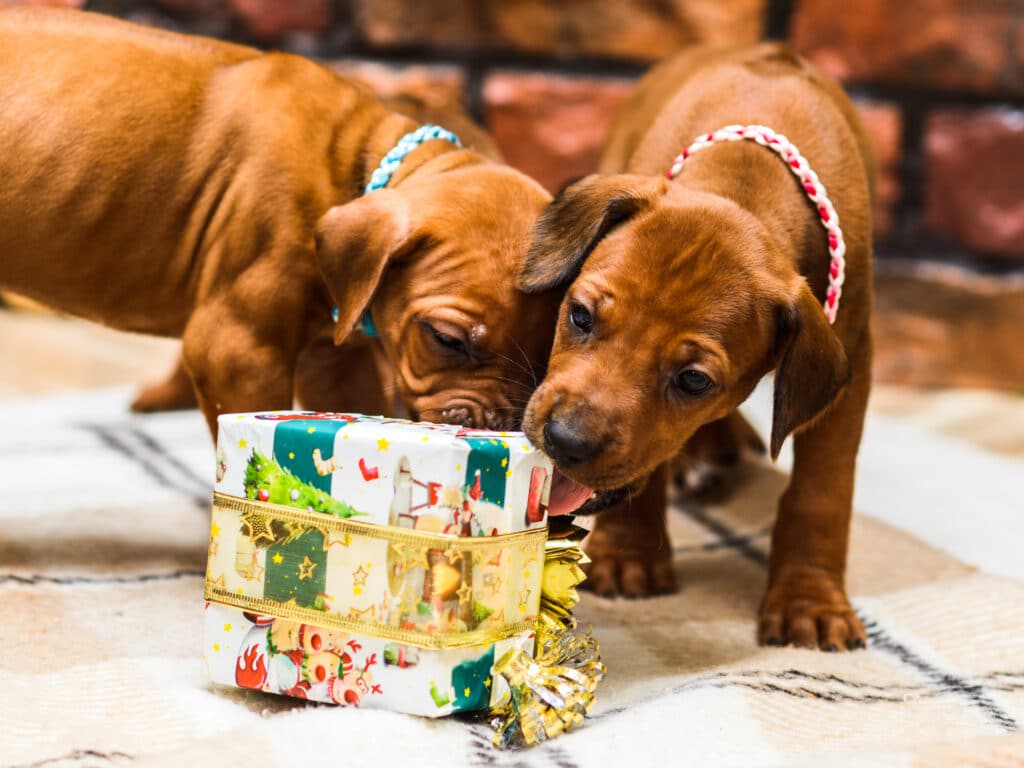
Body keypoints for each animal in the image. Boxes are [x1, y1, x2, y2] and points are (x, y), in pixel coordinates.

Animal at [2, 7, 561, 434]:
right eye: (447, 341)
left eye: (546, 353)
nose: (503, 428)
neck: (351, 165)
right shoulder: (236, 352)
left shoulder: (336, 362)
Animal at [520, 45, 872, 651]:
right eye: (580, 316)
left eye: (693, 380)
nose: (565, 442)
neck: (747, 181)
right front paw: (628, 554)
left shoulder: (851, 360)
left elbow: (822, 491)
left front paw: (809, 601)